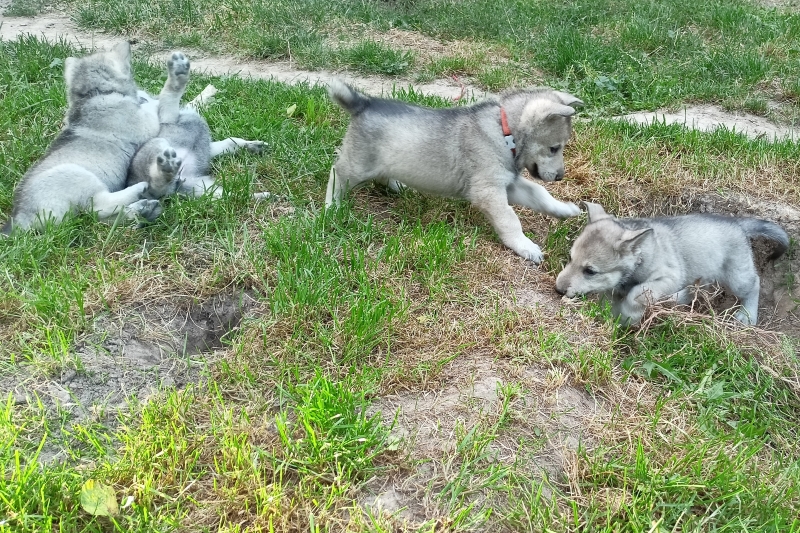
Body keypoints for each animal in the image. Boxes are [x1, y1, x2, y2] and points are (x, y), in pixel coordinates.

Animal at [1, 42, 176, 234]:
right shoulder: (144, 122)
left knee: (99, 217)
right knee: (99, 206)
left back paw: (142, 210)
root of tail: (20, 218)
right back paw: (137, 191)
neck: (93, 95)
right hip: (78, 176)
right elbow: (155, 106)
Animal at [127, 56, 268, 200]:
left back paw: (258, 196)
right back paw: (166, 170)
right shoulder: (168, 115)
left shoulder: (209, 148)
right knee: (156, 187)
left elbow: (230, 142)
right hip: (159, 147)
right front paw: (177, 78)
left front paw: (251, 145)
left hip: (203, 187)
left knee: (230, 196)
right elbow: (170, 95)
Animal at [325, 80, 584, 263]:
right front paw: (525, 246)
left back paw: (396, 186)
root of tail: (363, 103)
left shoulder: (508, 184)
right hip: (358, 165)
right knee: (336, 173)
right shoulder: (488, 191)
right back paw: (331, 207)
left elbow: (540, 194)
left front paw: (564, 210)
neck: (504, 131)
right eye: (554, 148)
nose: (560, 176)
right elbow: (510, 220)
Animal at [555, 202, 790, 326]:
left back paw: (747, 316)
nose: (558, 290)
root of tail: (738, 223)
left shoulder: (668, 277)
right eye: (570, 258)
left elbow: (638, 293)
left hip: (737, 277)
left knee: (754, 284)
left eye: (590, 271)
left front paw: (629, 315)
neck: (641, 257)